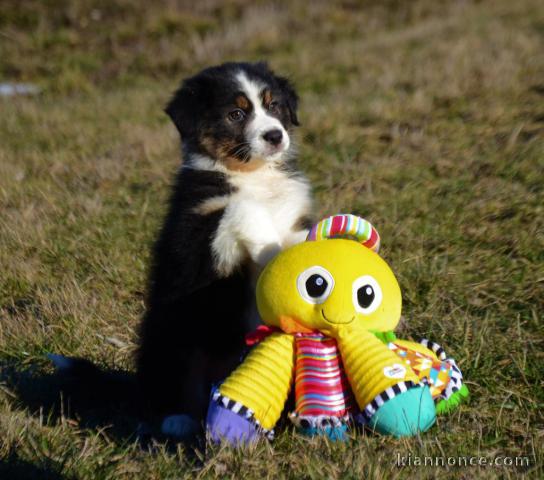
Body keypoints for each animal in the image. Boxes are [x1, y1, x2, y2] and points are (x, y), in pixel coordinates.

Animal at [135, 61, 312, 438]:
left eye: (274, 106)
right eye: (235, 114)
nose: (274, 136)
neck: (253, 174)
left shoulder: (295, 216)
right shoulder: (194, 243)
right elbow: (240, 207)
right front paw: (268, 250)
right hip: (169, 329)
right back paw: (177, 418)